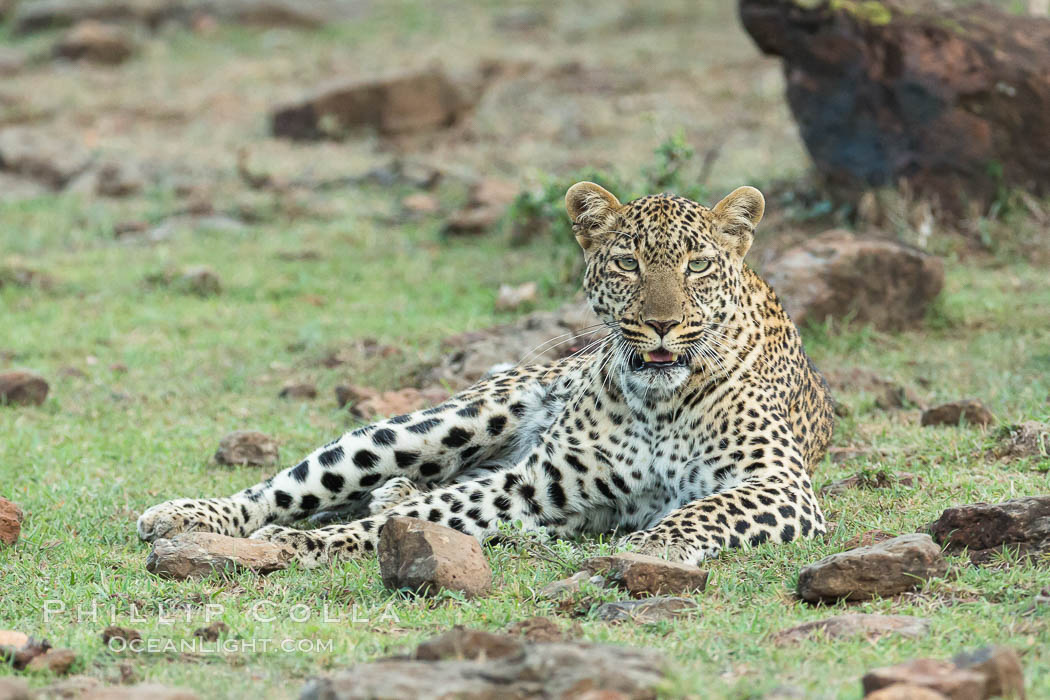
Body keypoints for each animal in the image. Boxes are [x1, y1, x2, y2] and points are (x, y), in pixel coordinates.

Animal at [135, 182, 831, 570]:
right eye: (629, 263)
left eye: (699, 266)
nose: (661, 325)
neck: (660, 403)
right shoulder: (536, 484)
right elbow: (420, 516)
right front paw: (293, 546)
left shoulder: (779, 485)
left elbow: (699, 510)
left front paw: (656, 547)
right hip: (440, 423)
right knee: (287, 486)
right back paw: (186, 516)